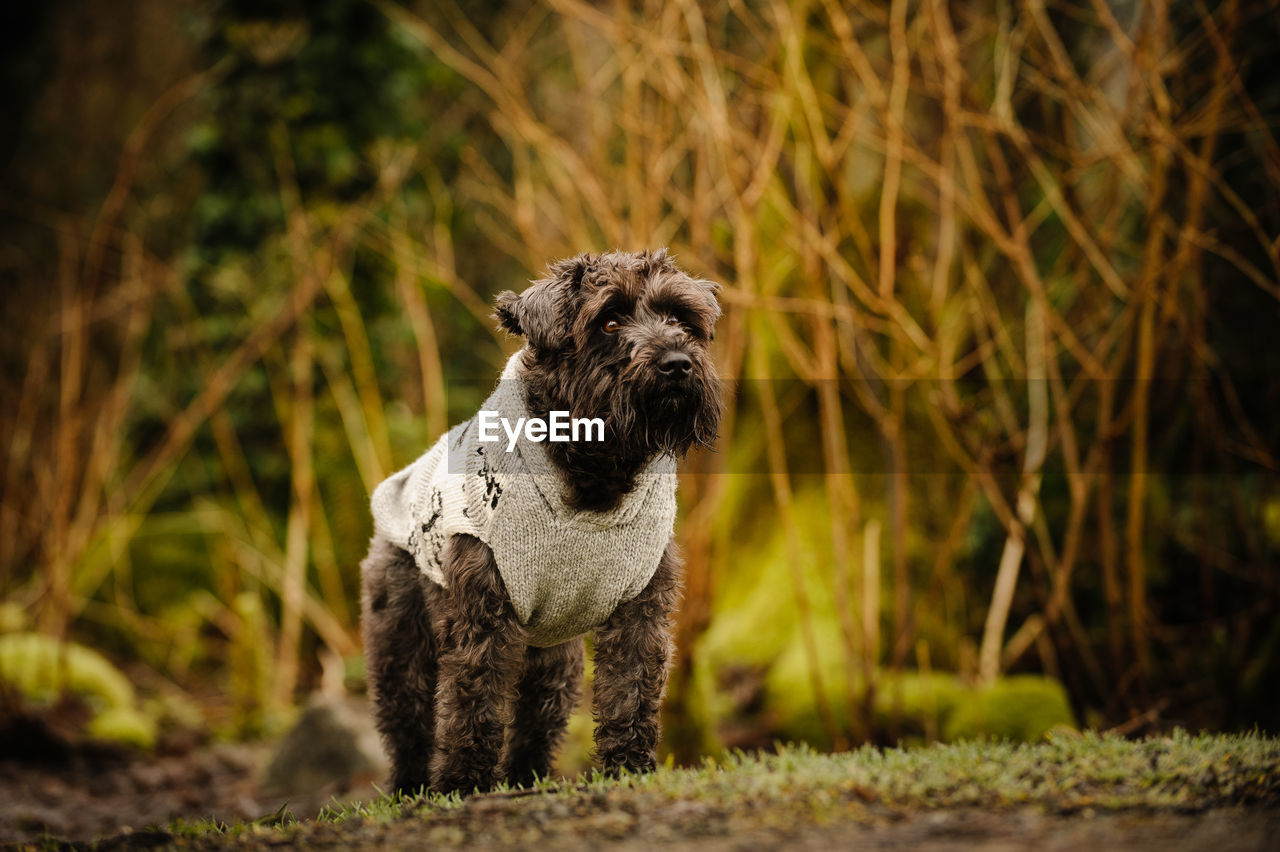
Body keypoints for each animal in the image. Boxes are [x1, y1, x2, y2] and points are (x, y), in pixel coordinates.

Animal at [360, 249, 721, 793]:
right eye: (609, 322)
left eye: (681, 318)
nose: (676, 363)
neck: (595, 476)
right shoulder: (481, 613)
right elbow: (473, 700)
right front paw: (464, 783)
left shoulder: (641, 609)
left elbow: (630, 693)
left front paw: (628, 769)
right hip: (402, 644)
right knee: (409, 723)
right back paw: (412, 788)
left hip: (555, 661)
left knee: (536, 721)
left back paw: (527, 778)